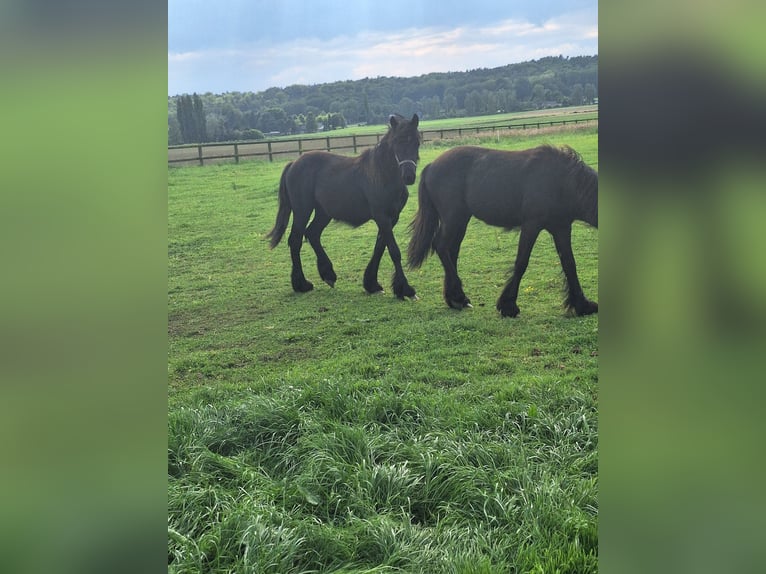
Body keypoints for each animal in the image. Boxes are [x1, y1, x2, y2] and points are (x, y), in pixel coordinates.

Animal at [268, 114, 424, 300]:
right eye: (397, 142)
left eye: (416, 142)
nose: (409, 176)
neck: (381, 174)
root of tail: (293, 163)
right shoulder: (382, 217)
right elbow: (394, 250)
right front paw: (406, 289)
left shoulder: (391, 218)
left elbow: (379, 247)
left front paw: (372, 284)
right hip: (302, 211)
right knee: (295, 240)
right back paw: (302, 284)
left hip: (323, 213)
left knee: (312, 234)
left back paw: (328, 274)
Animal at [408, 142, 600, 318]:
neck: (562, 181)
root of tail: (432, 165)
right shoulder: (531, 225)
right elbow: (521, 262)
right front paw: (508, 306)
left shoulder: (562, 228)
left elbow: (569, 264)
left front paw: (583, 305)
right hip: (453, 218)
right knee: (440, 246)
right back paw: (460, 297)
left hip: (461, 220)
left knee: (451, 251)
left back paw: (454, 298)